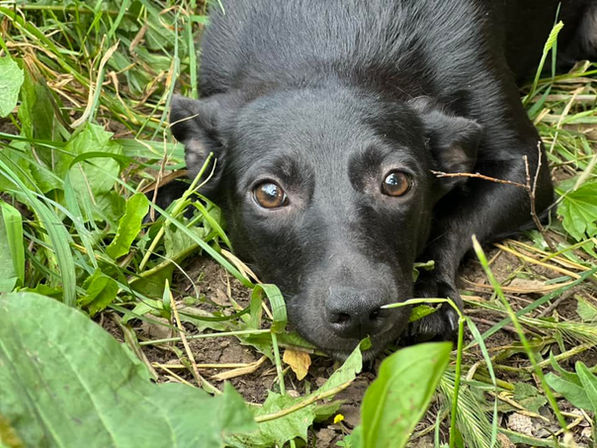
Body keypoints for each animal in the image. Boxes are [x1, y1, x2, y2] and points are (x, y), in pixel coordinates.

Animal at [169, 0, 597, 360]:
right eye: (270, 193)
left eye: (395, 183)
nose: (358, 312)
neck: (330, 37)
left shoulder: (525, 167)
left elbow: (454, 220)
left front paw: (430, 293)